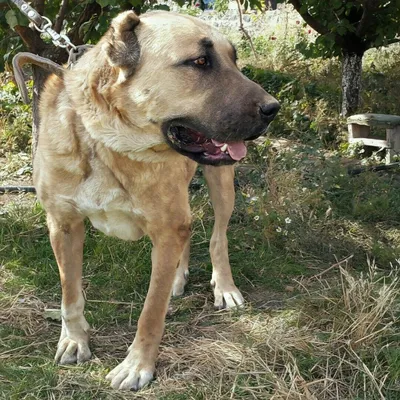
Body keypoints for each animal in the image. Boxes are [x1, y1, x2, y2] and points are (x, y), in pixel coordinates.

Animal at [32, 10, 280, 390]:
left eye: (234, 59)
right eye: (200, 61)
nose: (273, 108)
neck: (109, 145)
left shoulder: (166, 229)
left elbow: (151, 311)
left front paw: (137, 366)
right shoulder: (63, 225)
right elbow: (69, 294)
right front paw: (74, 340)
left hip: (221, 184)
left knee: (217, 238)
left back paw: (224, 286)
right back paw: (179, 277)